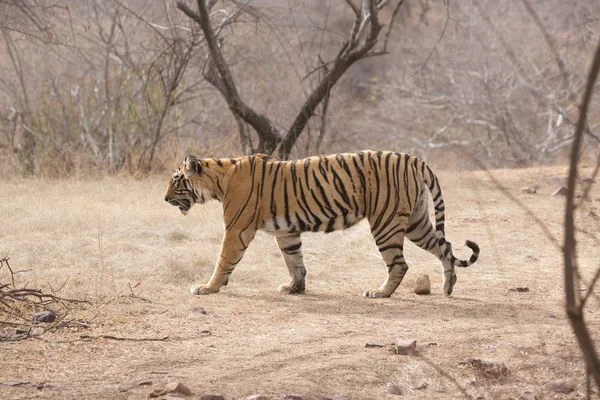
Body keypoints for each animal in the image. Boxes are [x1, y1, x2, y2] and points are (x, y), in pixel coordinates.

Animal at [163, 150, 478, 296]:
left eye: (176, 180)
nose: (165, 199)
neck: (220, 180)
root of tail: (413, 159)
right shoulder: (287, 231)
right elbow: (294, 260)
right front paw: (295, 287)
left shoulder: (237, 229)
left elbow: (223, 259)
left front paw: (208, 287)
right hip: (416, 222)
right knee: (445, 247)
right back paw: (448, 286)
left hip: (386, 223)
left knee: (400, 264)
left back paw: (380, 293)